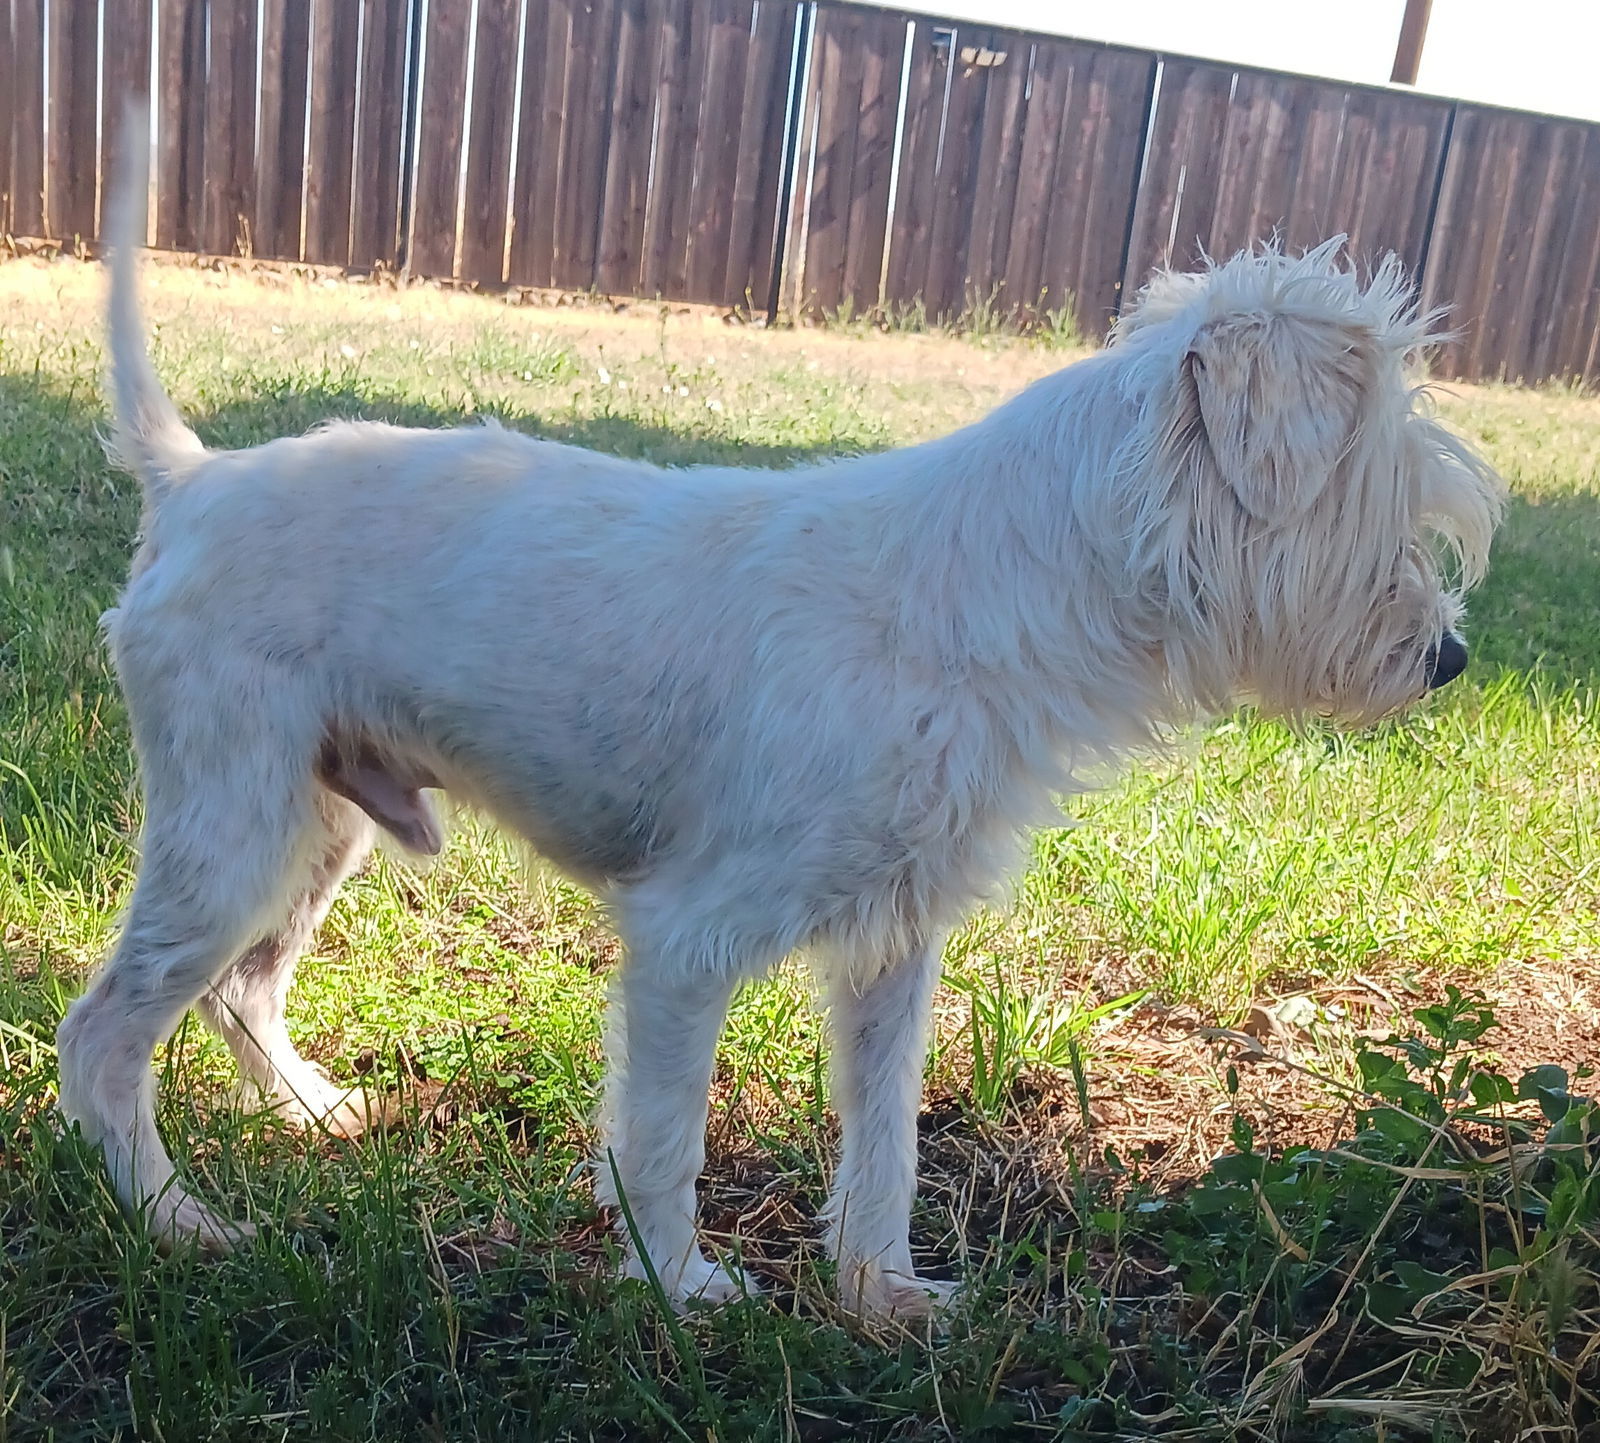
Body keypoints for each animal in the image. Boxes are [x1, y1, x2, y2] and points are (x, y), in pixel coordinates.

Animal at [53, 129, 1497, 1324]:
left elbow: (886, 1140)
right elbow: (664, 1137)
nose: (1451, 659)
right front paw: (679, 1285)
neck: (981, 589)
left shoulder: (893, 949)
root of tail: (193, 478)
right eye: (1384, 504)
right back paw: (177, 1221)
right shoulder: (687, 943)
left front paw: (881, 1293)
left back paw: (309, 1115)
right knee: (105, 1034)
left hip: (319, 828)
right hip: (235, 832)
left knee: (239, 991)